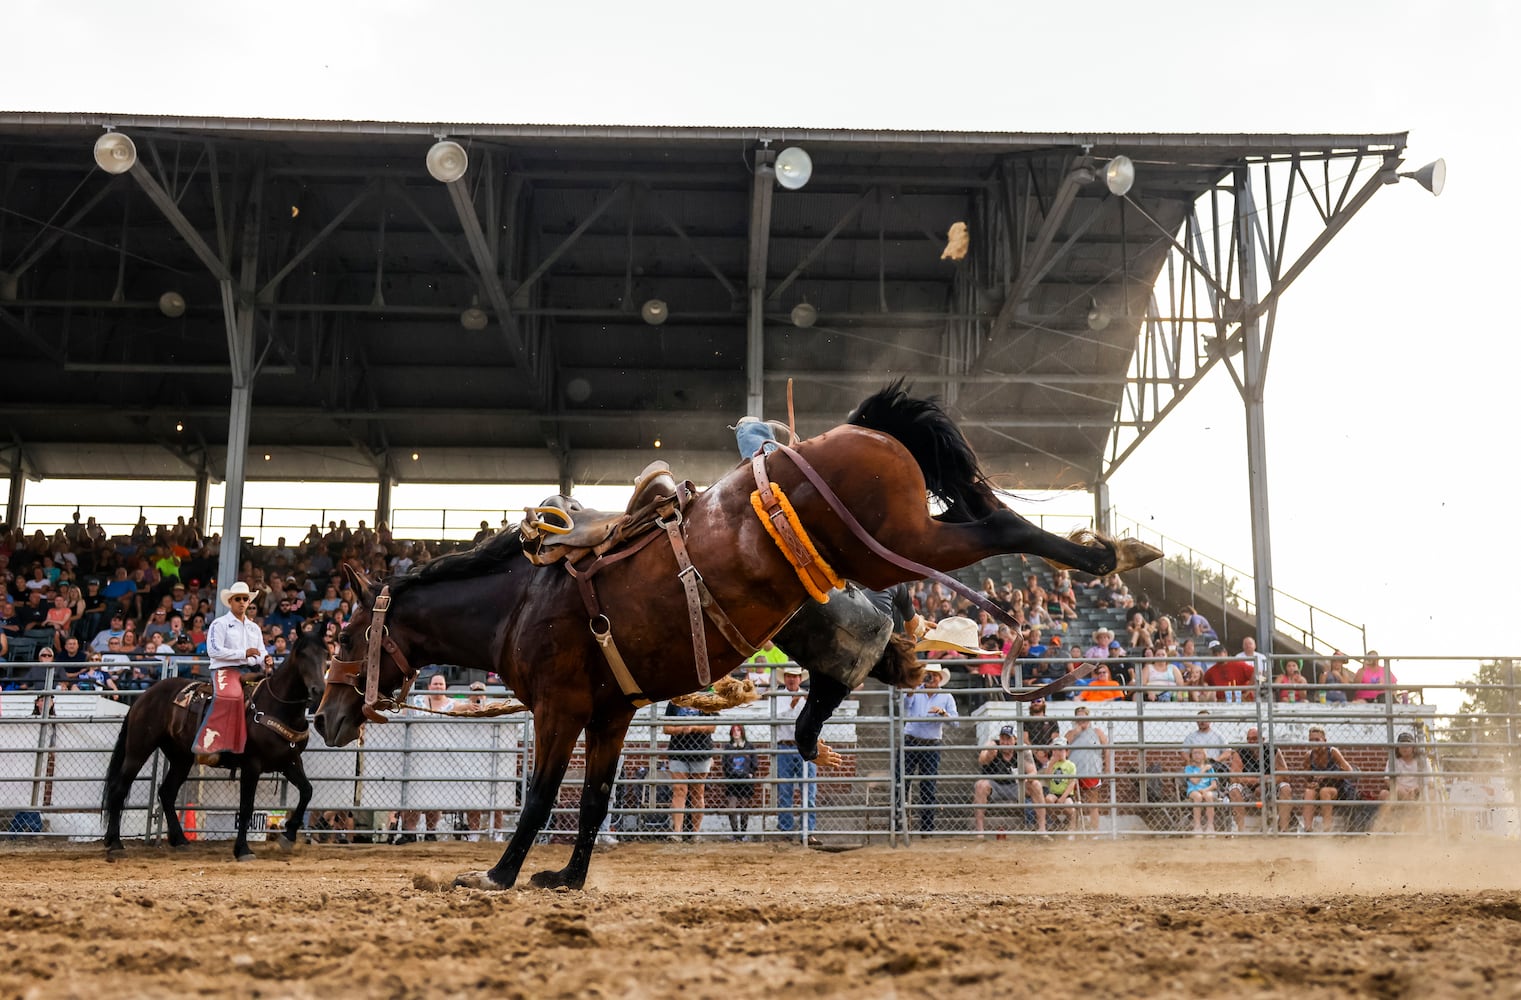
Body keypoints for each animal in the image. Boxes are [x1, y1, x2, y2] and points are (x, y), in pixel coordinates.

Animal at [103, 633, 327, 858]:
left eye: (326, 654)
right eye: (302, 655)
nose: (319, 690)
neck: (277, 706)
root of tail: (144, 697)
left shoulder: (289, 761)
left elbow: (307, 791)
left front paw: (288, 835)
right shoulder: (252, 765)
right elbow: (246, 806)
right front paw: (242, 849)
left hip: (181, 758)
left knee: (166, 792)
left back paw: (180, 840)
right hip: (138, 750)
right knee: (119, 789)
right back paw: (115, 843)